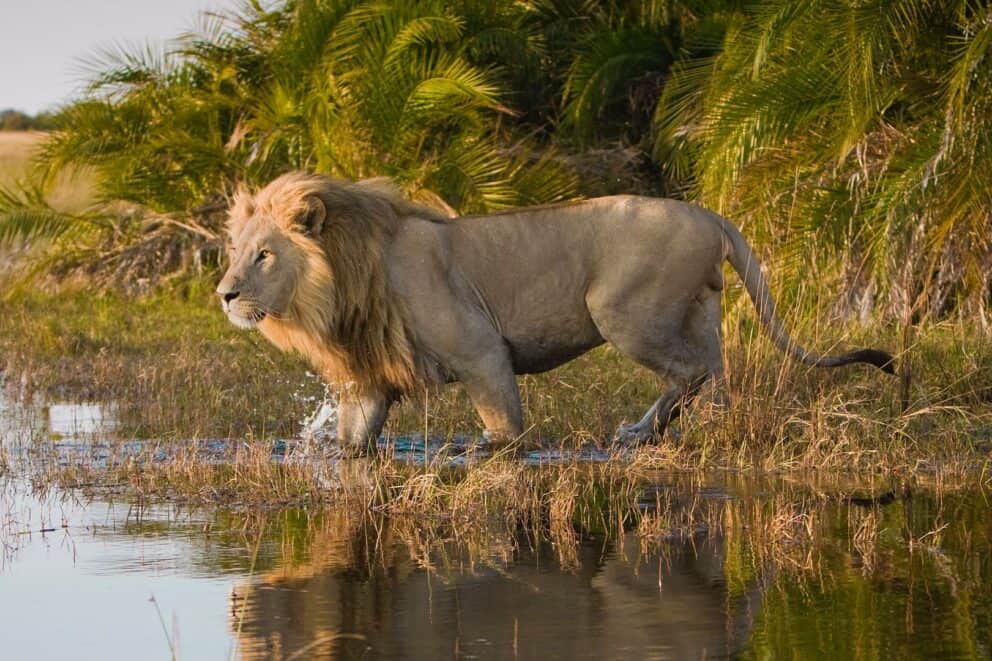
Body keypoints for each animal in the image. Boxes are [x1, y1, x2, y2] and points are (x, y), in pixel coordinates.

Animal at [217, 172, 894, 453]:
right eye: (234, 251)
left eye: (264, 255)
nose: (223, 293)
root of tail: (711, 215)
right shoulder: (369, 379)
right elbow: (355, 438)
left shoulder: (481, 348)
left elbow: (504, 423)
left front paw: (486, 452)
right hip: (701, 311)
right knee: (714, 375)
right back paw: (677, 432)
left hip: (621, 310)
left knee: (690, 372)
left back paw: (639, 433)